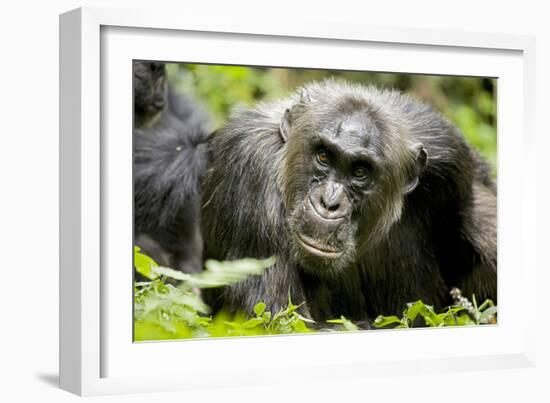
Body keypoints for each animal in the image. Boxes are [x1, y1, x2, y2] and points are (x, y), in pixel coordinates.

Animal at [202, 80, 496, 324]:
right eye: (323, 156)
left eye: (360, 172)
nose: (329, 202)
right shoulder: (249, 169)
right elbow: (277, 317)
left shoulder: (450, 154)